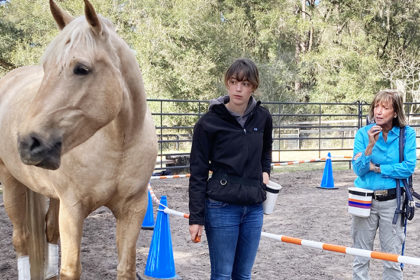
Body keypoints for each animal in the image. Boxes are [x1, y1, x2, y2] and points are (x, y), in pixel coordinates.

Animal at [0, 1, 157, 278]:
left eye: (81, 69)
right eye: (47, 68)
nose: (28, 143)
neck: (119, 147)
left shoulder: (133, 210)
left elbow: (125, 267)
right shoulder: (73, 209)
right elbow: (71, 268)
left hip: (51, 194)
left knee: (48, 230)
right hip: (11, 183)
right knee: (21, 239)